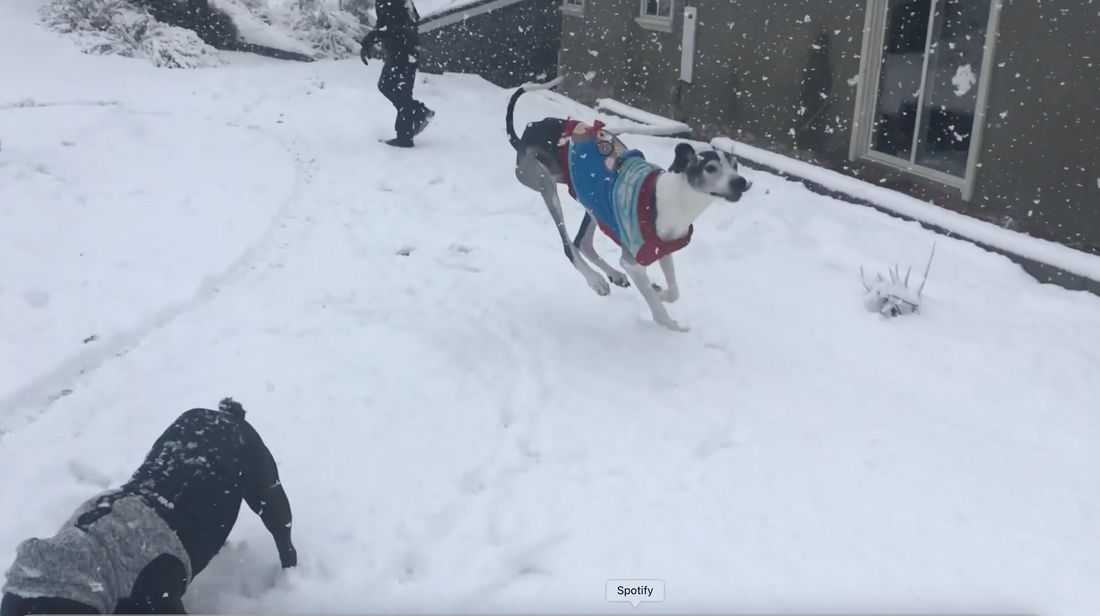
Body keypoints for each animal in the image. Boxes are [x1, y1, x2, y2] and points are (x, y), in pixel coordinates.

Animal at [503, 77, 748, 332]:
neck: (675, 200)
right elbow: (657, 309)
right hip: (544, 183)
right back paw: (595, 280)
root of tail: (527, 133)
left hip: (592, 199)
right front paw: (674, 326)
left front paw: (660, 291)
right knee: (569, 245)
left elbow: (674, 292)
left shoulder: (663, 250)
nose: (741, 182)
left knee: (583, 242)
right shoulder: (633, 263)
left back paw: (613, 275)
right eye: (710, 168)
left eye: (735, 166)